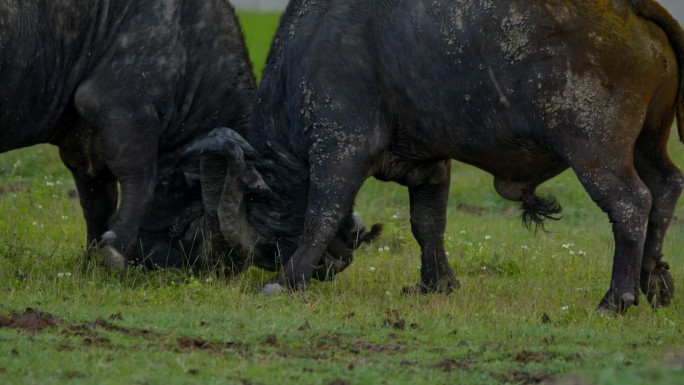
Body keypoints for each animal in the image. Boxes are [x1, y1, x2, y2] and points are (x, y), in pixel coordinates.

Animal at [0, 0, 254, 264]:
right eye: (192, 234)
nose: (216, 267)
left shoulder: (83, 143)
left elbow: (98, 200)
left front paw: (93, 256)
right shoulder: (124, 110)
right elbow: (141, 179)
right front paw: (114, 250)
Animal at [194, 0, 684, 312]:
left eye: (268, 232)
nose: (330, 269)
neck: (311, 44)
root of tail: (629, 8)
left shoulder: (340, 147)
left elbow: (321, 213)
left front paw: (288, 280)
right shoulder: (429, 165)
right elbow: (427, 223)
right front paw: (437, 283)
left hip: (596, 151)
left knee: (631, 204)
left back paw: (616, 299)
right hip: (648, 144)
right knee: (665, 187)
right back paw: (653, 282)